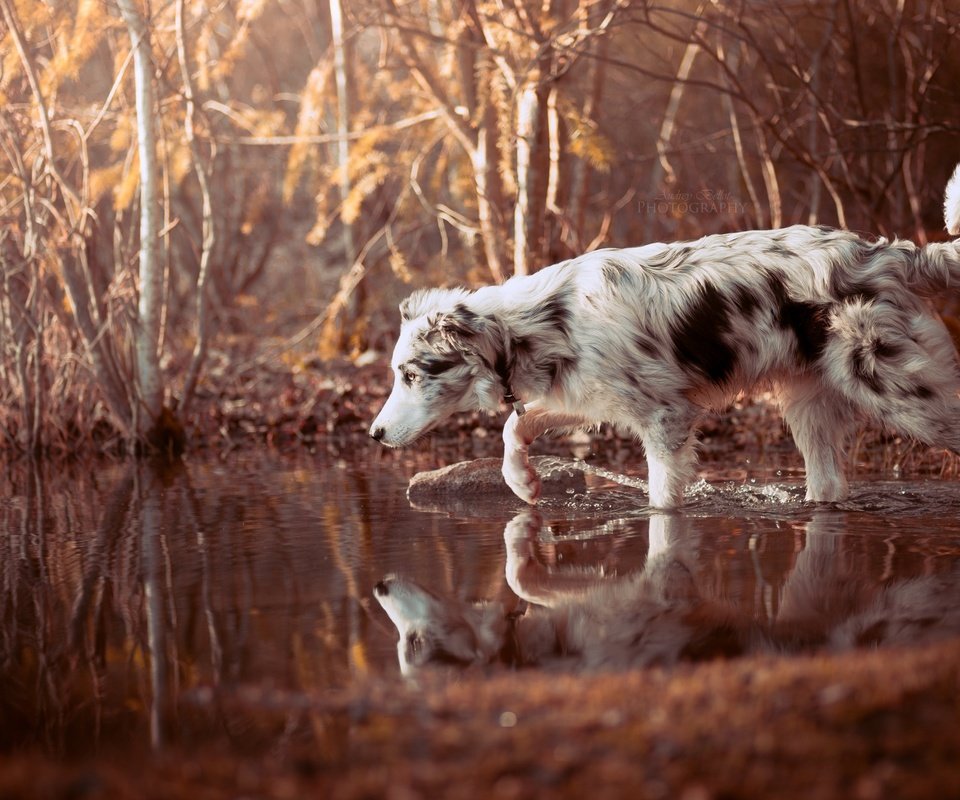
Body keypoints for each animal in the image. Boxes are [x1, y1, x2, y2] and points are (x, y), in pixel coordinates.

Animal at [372, 166, 960, 510]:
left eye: (411, 375)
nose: (374, 434)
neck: (540, 324)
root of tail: (889, 252)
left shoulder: (665, 419)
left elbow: (660, 504)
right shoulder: (588, 397)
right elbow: (515, 426)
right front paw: (523, 483)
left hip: (900, 390)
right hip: (809, 406)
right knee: (830, 487)